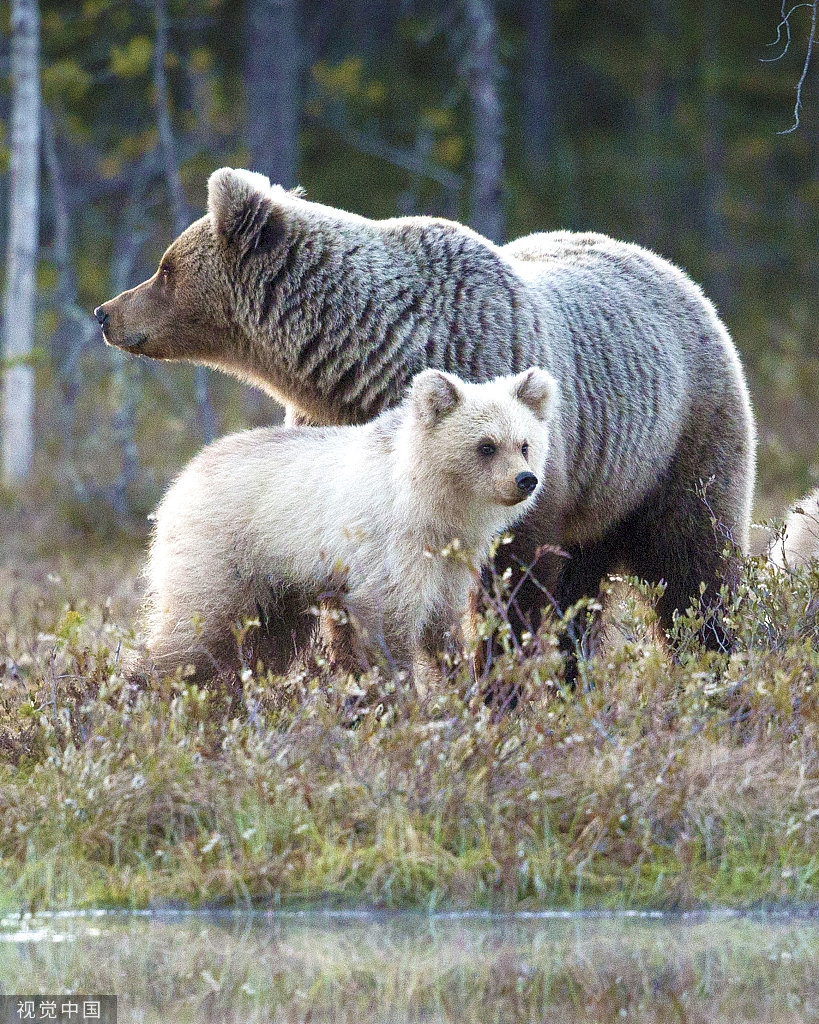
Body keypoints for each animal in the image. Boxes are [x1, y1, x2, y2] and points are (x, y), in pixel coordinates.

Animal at [137, 368, 552, 679]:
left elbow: (443, 627)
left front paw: (457, 682)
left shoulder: (450, 564)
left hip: (277, 589)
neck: (433, 509)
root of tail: (182, 478)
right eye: (486, 445)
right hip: (221, 561)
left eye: (525, 444)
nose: (525, 480)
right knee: (191, 636)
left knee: (265, 645)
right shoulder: (389, 552)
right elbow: (389, 626)